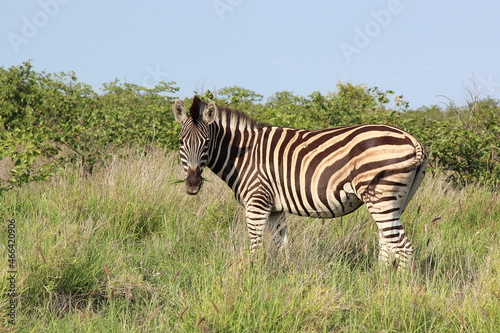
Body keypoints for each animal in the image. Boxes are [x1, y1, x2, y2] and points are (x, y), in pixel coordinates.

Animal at [174, 96, 428, 268]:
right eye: (180, 142)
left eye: (207, 142)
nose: (192, 184)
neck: (243, 154)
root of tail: (413, 139)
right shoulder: (275, 208)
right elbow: (283, 247)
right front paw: (285, 278)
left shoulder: (257, 202)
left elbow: (255, 248)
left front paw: (252, 281)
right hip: (396, 200)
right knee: (388, 244)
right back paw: (380, 284)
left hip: (381, 196)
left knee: (403, 247)